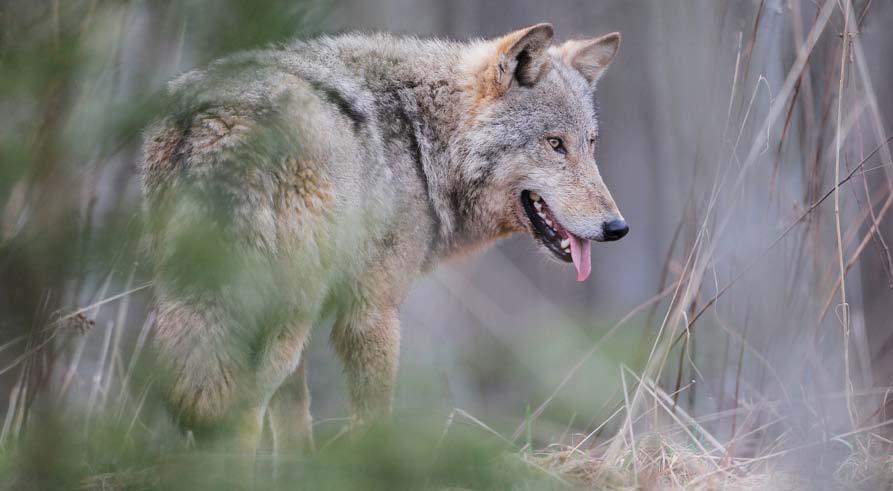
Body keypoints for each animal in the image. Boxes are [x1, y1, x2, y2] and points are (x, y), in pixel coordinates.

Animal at [139, 23, 628, 460]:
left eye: (590, 143)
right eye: (555, 144)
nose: (617, 228)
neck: (425, 145)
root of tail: (214, 122)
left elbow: (294, 428)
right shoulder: (371, 314)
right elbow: (372, 421)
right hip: (279, 317)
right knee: (237, 417)